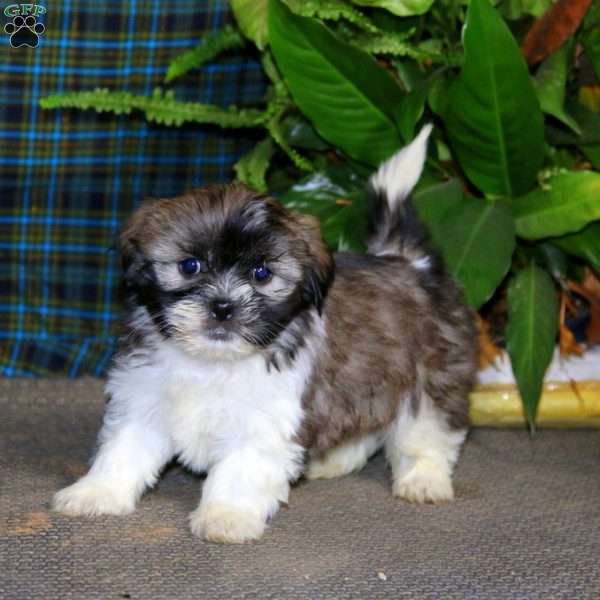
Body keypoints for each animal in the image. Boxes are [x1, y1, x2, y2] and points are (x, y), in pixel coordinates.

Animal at [55, 125, 478, 544]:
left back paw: (423, 478)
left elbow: (240, 470)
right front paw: (97, 492)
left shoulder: (264, 420)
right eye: (190, 266)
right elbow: (124, 448)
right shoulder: (143, 395)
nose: (223, 306)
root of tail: (409, 263)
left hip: (431, 376)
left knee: (426, 430)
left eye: (262, 274)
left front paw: (226, 516)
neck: (210, 362)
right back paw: (333, 461)